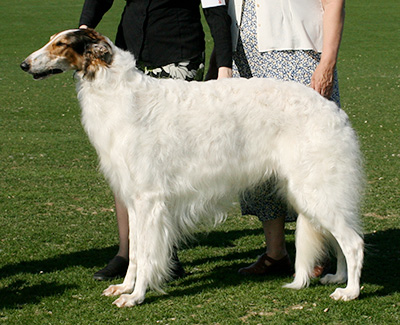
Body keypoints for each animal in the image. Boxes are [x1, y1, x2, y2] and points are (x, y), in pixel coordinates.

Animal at [22, 28, 366, 306]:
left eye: (60, 44)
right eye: (51, 40)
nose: (23, 64)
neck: (119, 93)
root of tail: (333, 110)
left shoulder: (149, 200)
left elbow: (146, 254)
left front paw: (136, 296)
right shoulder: (133, 200)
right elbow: (134, 253)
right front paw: (124, 287)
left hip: (315, 190)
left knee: (353, 242)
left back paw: (350, 291)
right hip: (313, 193)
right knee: (341, 240)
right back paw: (338, 278)